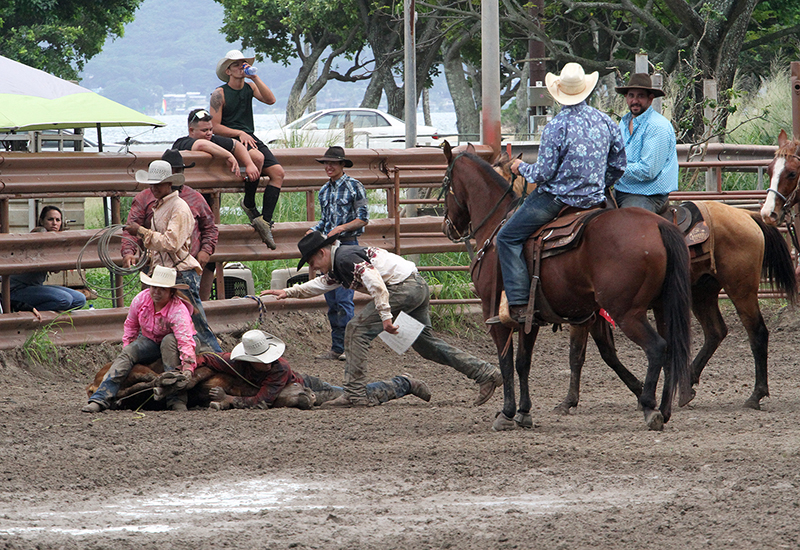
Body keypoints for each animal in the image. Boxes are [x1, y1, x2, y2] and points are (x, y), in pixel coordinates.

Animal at [444, 144, 692, 434]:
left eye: (445, 182)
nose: (448, 228)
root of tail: (659, 224)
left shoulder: (494, 313)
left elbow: (506, 361)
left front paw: (507, 413)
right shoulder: (530, 316)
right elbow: (524, 362)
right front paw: (524, 412)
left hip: (627, 312)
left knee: (657, 347)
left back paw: (650, 408)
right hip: (663, 306)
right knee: (672, 349)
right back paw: (665, 409)